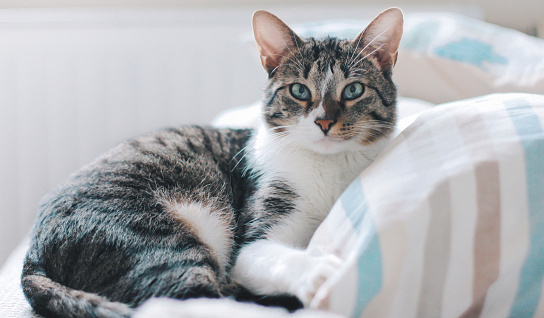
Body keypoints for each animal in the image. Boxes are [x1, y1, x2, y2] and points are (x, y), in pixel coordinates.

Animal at [21, 7, 404, 318]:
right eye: (299, 91)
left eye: (353, 90)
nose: (324, 122)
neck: (328, 167)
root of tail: (34, 253)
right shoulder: (253, 235)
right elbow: (268, 256)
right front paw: (321, 272)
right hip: (154, 233)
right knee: (187, 299)